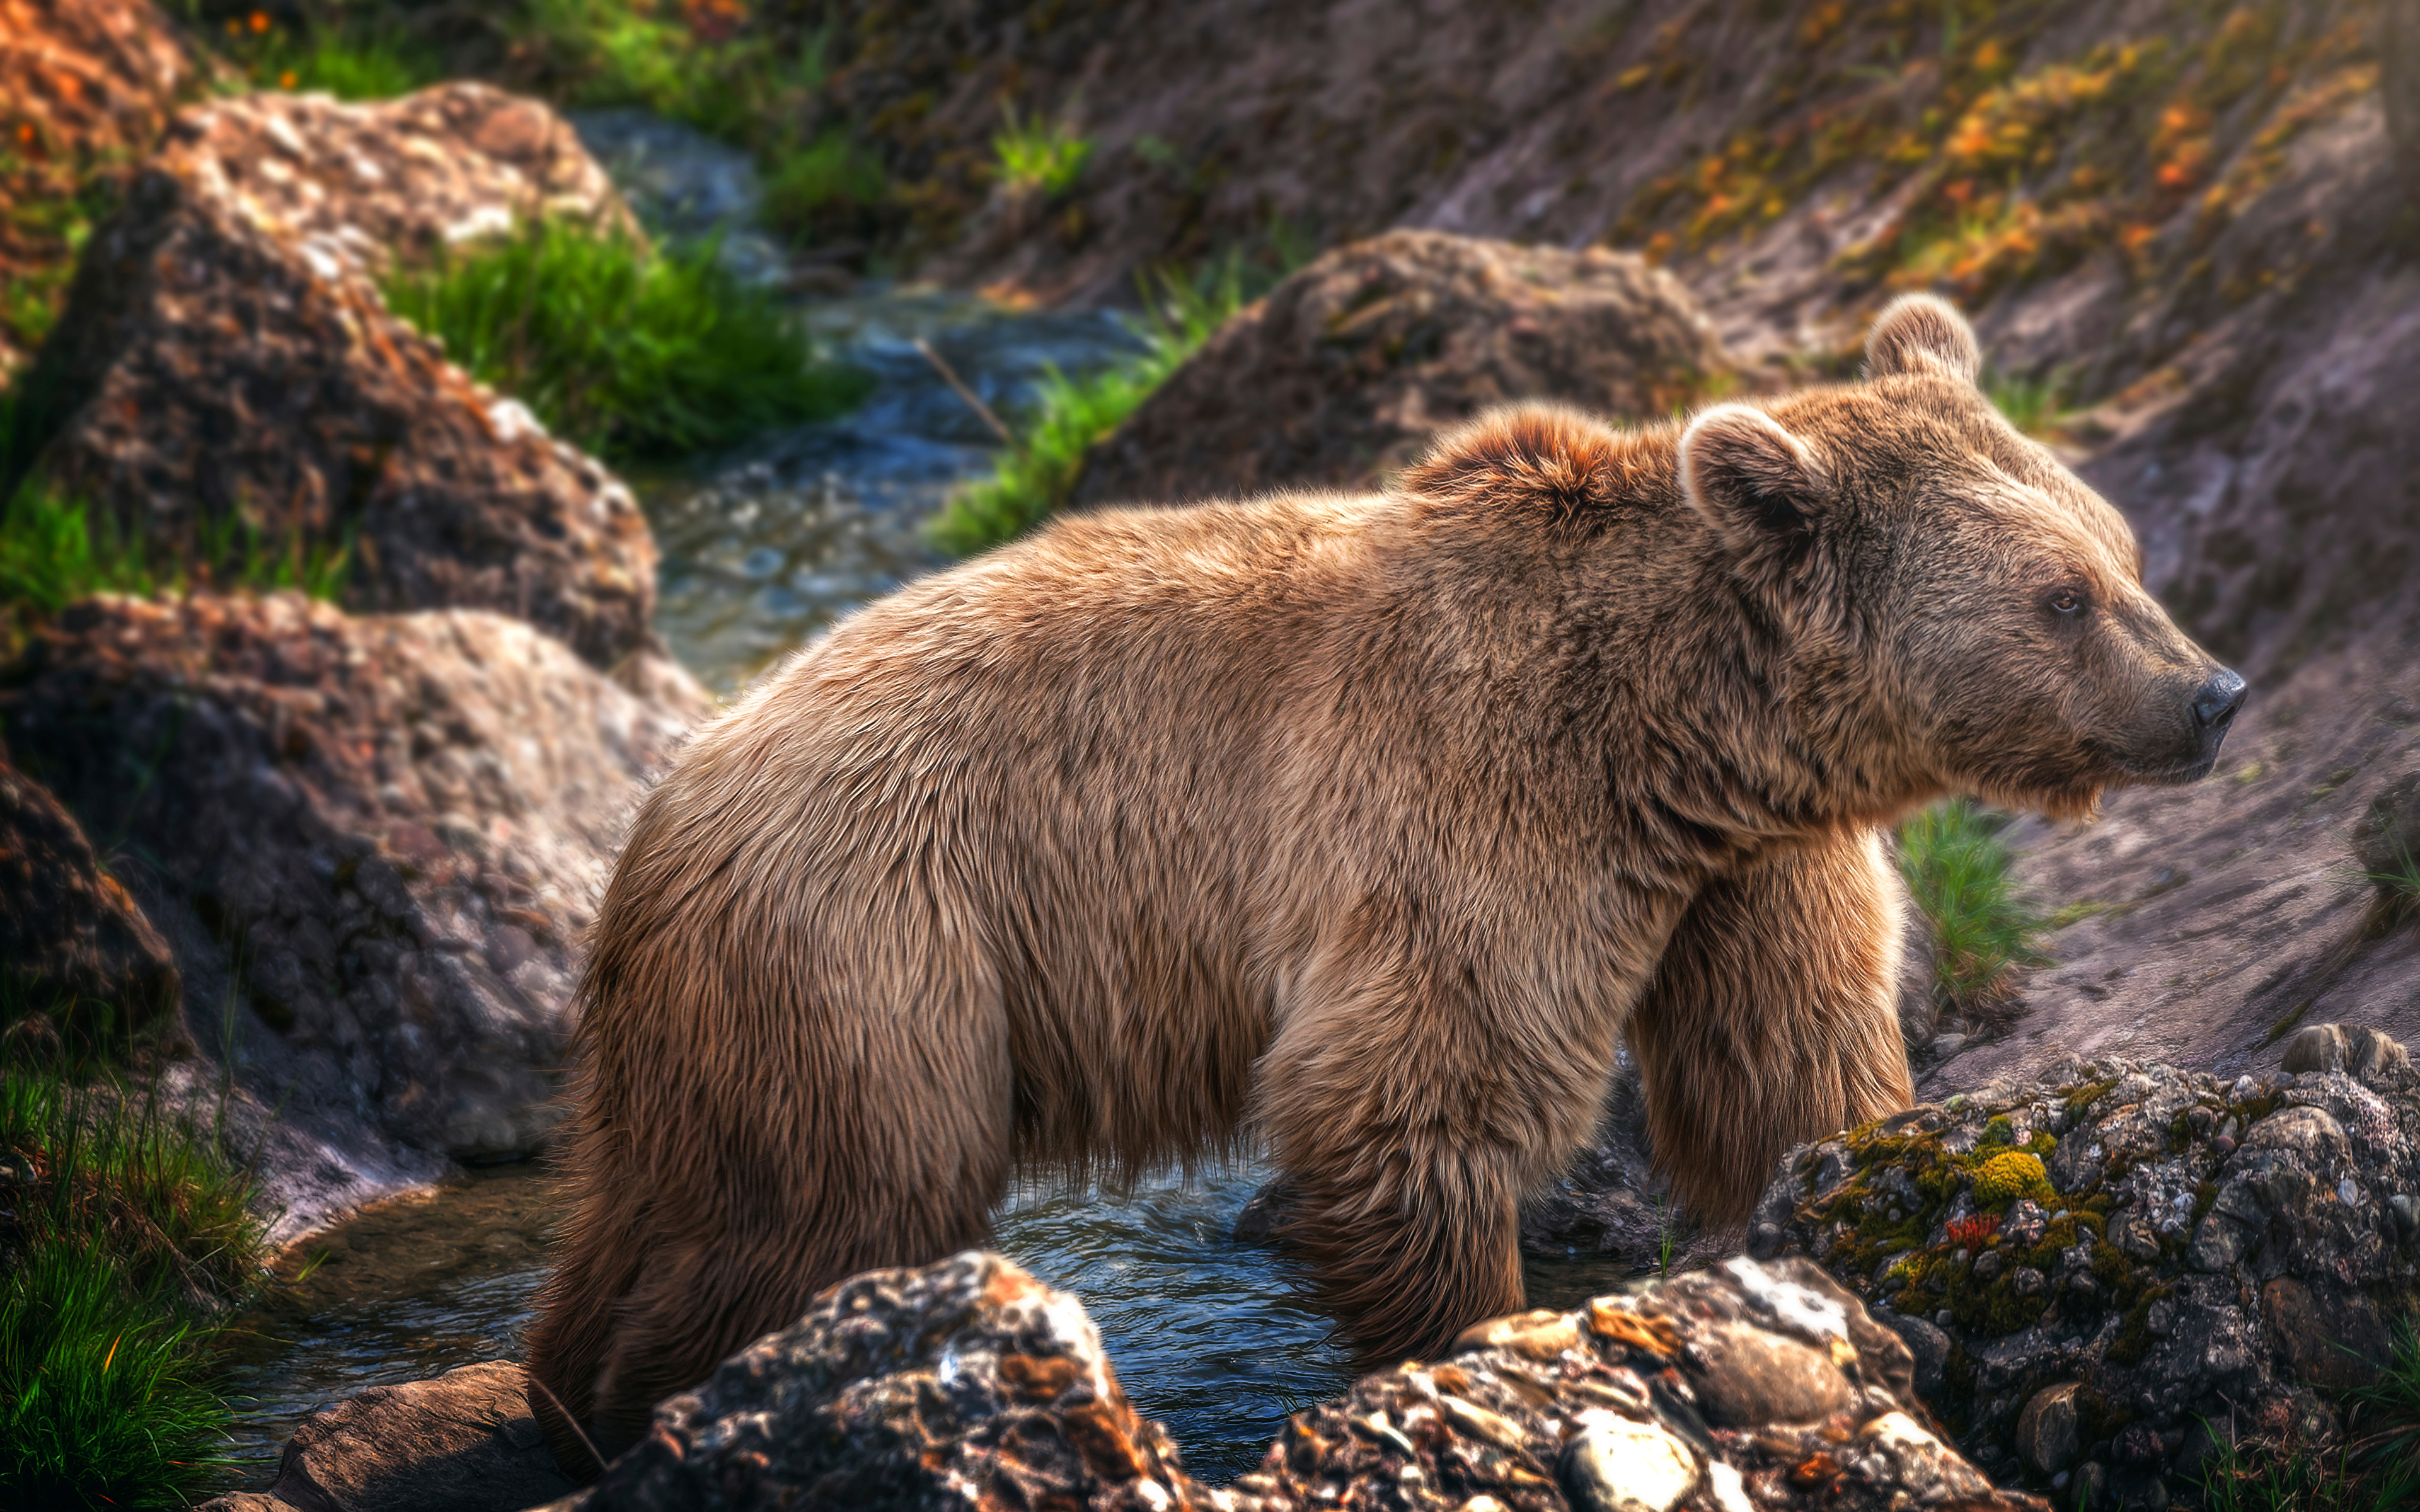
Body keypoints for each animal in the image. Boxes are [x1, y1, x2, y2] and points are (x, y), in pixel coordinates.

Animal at [529, 297, 2245, 1470]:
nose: (2215, 691)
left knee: (665, 1206)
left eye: (2118, 547)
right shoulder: (1470, 811)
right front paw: (1476, 1344)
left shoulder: (1746, 879)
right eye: (2060, 593)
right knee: (829, 1209)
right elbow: (1418, 1096)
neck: (1677, 739)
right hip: (876, 943)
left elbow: (1786, 1066)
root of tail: (663, 801)